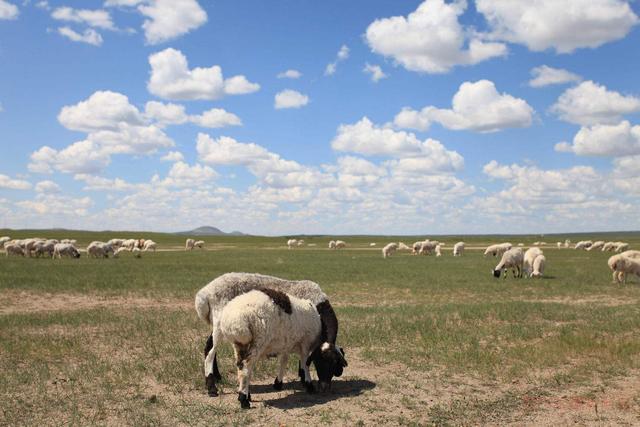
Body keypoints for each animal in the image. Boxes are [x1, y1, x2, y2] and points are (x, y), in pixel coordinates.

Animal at [194, 274, 344, 398]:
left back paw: (217, 378)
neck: (319, 306)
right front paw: (304, 380)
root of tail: (204, 294)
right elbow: (303, 360)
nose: (324, 388)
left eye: (334, 362)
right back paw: (212, 388)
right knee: (211, 352)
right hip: (220, 322)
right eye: (321, 361)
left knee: (209, 347)